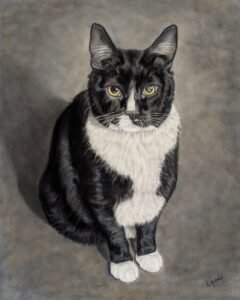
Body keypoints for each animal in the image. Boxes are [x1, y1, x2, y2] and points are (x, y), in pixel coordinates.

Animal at [39, 22, 180, 282]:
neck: (134, 144)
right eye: (113, 90)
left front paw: (147, 254)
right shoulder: (96, 190)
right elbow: (111, 226)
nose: (133, 114)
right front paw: (123, 263)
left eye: (150, 89)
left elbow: (150, 219)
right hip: (51, 194)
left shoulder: (163, 182)